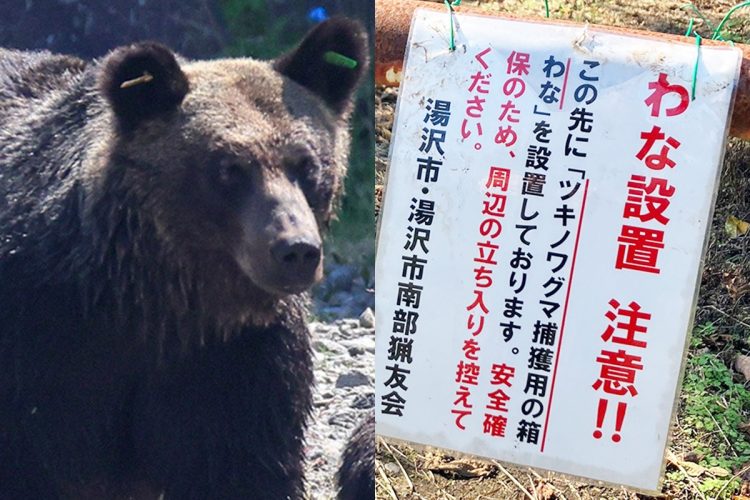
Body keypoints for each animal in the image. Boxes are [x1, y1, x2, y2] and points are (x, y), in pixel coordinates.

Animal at [0, 17, 367, 500]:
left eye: (307, 165)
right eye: (230, 167)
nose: (297, 250)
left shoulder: (235, 361)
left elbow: (238, 464)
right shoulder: (41, 339)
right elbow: (31, 456)